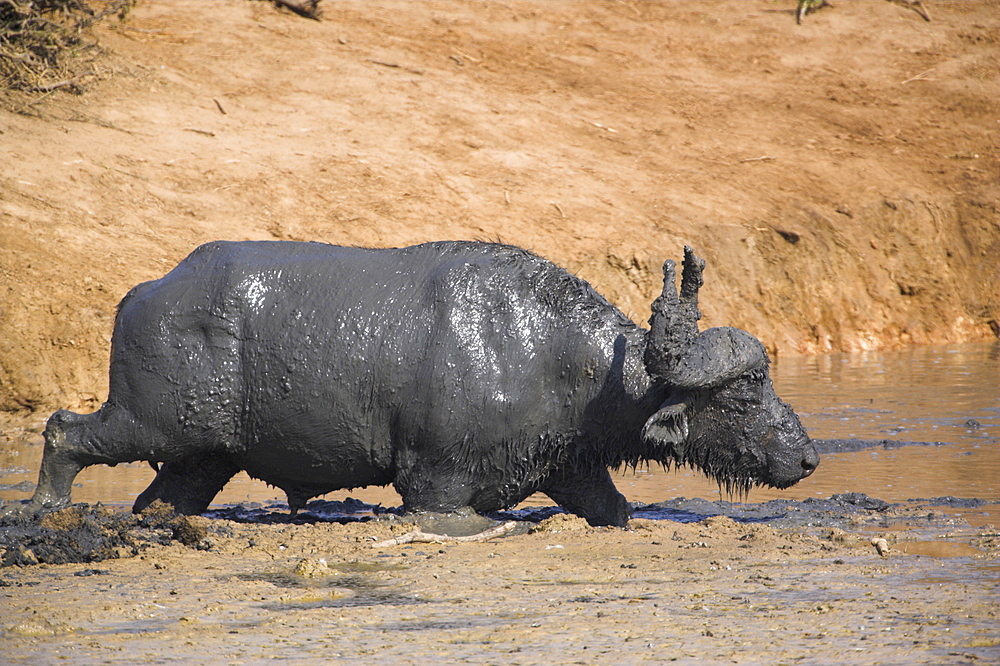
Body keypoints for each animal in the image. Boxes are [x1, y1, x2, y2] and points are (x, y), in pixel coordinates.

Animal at [11, 239, 816, 524]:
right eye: (744, 390)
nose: (807, 455)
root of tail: (141, 295)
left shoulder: (570, 468)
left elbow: (612, 509)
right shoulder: (433, 484)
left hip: (202, 455)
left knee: (158, 498)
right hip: (148, 420)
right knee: (63, 429)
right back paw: (42, 509)